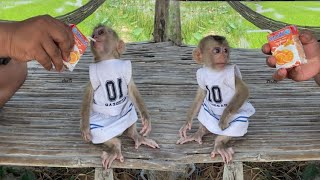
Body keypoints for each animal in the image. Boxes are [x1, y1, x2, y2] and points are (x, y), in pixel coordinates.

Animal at [80, 24, 159, 170]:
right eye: (93, 34)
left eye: (101, 32)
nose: (94, 36)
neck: (108, 60)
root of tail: (119, 132)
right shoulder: (92, 77)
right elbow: (87, 98)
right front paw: (85, 129)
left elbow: (132, 90)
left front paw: (146, 118)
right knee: (101, 133)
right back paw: (116, 146)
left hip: (125, 113)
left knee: (130, 112)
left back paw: (135, 135)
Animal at [175, 34, 255, 163]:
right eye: (217, 50)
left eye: (226, 50)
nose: (224, 55)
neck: (214, 71)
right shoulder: (201, 74)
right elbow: (201, 94)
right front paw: (187, 122)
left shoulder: (232, 74)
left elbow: (243, 90)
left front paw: (223, 118)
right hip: (208, 113)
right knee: (204, 114)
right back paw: (200, 132)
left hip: (239, 118)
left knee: (237, 126)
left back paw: (219, 144)